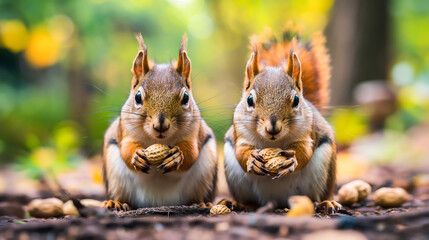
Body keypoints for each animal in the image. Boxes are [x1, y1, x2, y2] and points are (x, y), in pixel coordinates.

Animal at [101, 33, 217, 210]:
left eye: (185, 98)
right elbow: (126, 148)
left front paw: (176, 156)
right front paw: (136, 156)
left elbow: (191, 152)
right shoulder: (125, 131)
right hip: (114, 175)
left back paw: (200, 202)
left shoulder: (194, 132)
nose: (160, 125)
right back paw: (116, 203)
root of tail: (159, 203)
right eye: (137, 97)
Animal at [224, 27, 342, 213]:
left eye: (296, 100)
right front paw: (251, 160)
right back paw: (238, 204)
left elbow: (304, 152)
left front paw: (292, 161)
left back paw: (325, 203)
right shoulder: (240, 134)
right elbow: (241, 152)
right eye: (249, 100)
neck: (272, 142)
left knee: (316, 197)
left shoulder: (306, 134)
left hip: (325, 168)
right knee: (251, 201)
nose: (273, 128)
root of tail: (278, 201)